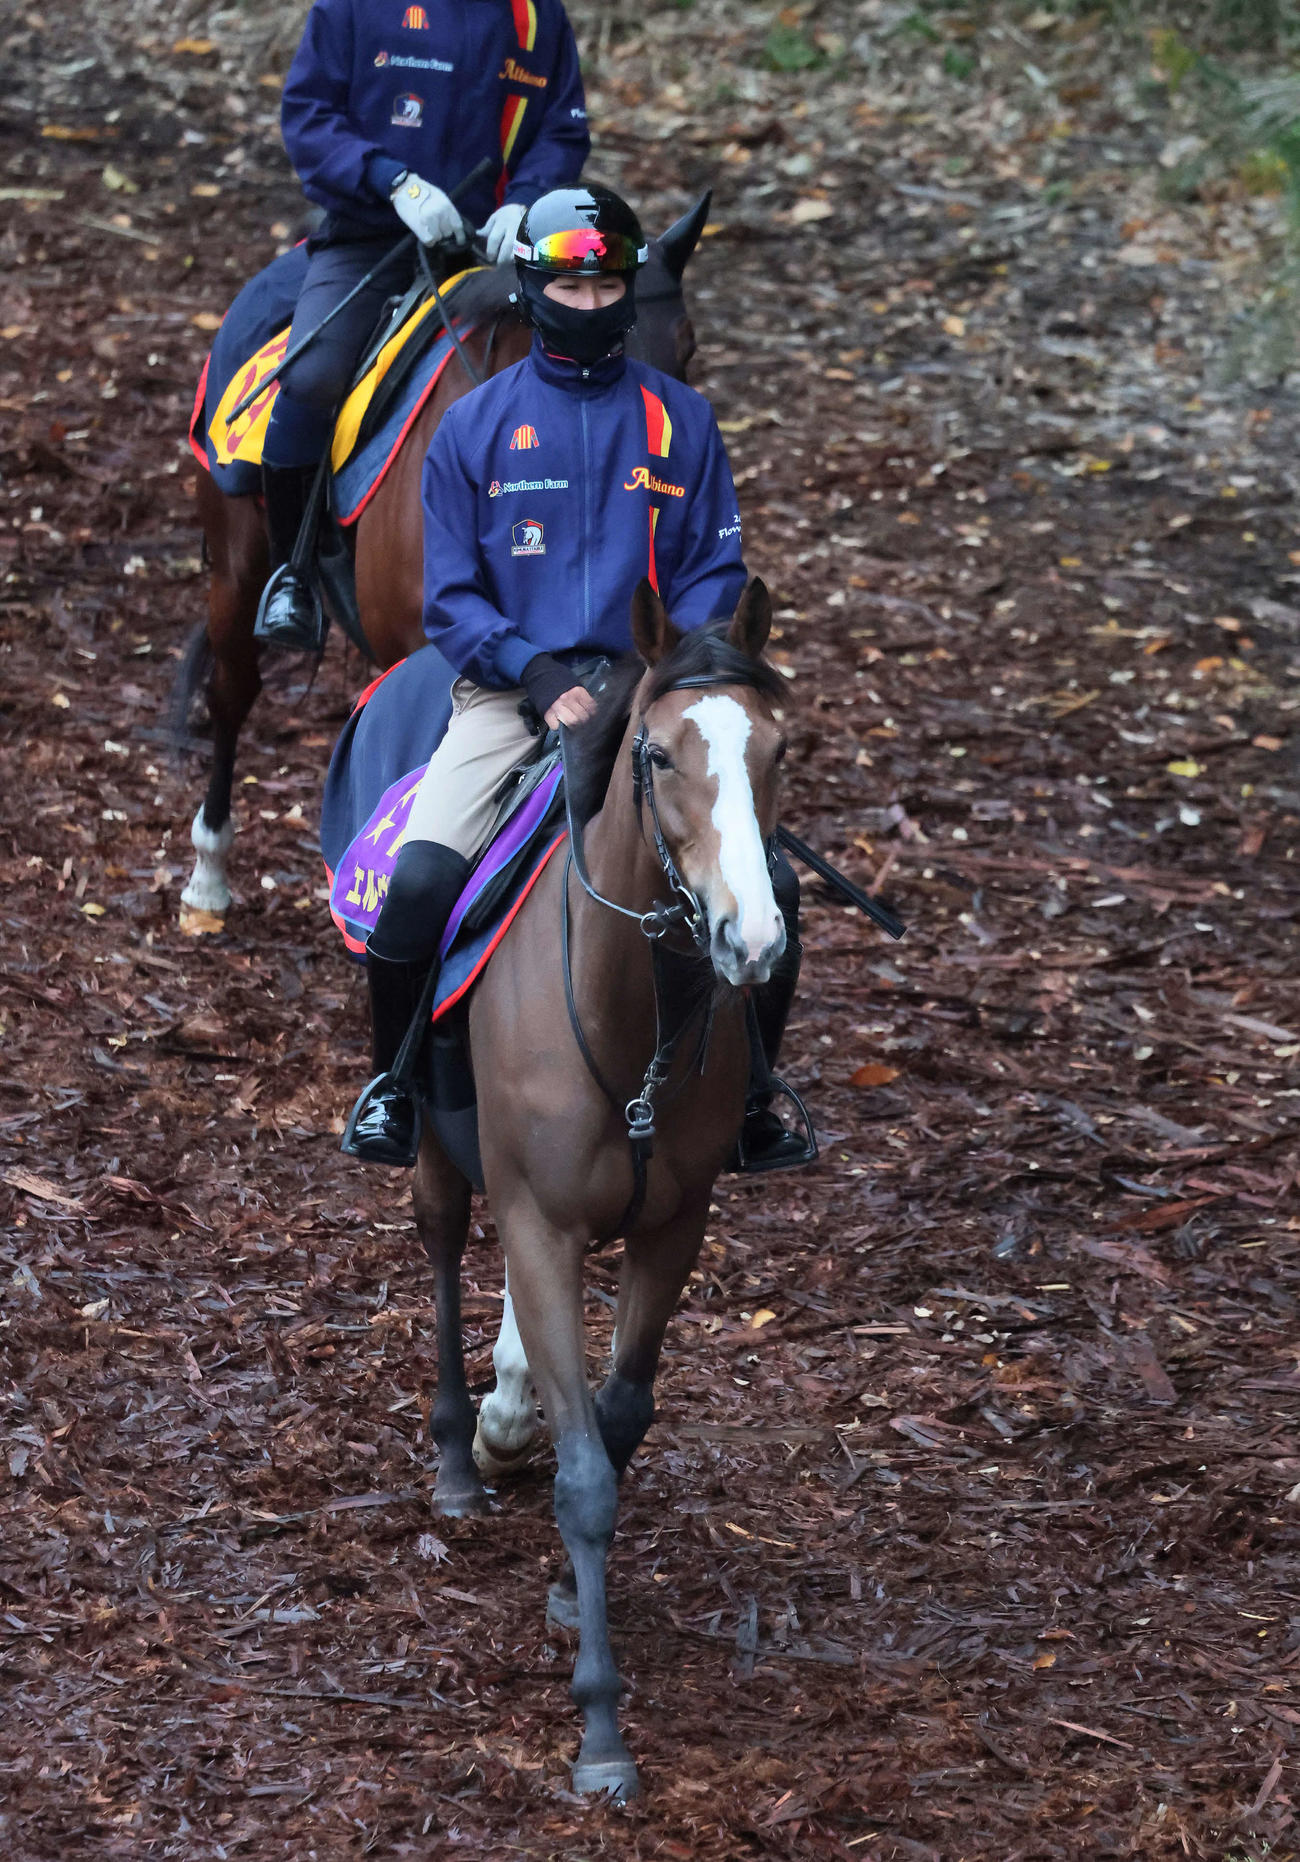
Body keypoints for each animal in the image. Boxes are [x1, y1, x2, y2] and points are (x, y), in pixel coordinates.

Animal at [407, 576, 787, 1799]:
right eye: (659, 755)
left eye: (778, 750)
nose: (753, 935)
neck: (631, 1021)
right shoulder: (540, 1225)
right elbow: (582, 1475)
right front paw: (602, 1727)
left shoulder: (674, 1225)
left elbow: (618, 1419)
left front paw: (573, 1598)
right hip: (432, 1141)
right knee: (441, 1239)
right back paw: (457, 1454)